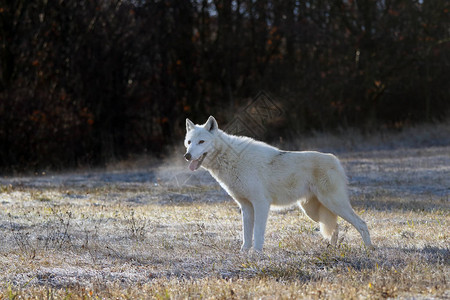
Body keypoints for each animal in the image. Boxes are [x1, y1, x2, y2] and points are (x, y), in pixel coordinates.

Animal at [184, 116, 372, 252]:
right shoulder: (245, 206)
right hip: (313, 211)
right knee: (335, 227)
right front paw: (243, 253)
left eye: (201, 142)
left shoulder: (261, 204)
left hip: (333, 204)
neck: (231, 160)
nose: (187, 155)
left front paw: (256, 254)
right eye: (189, 142)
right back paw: (331, 250)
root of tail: (336, 160)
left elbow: (258, 233)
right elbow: (246, 235)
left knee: (361, 224)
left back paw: (369, 249)